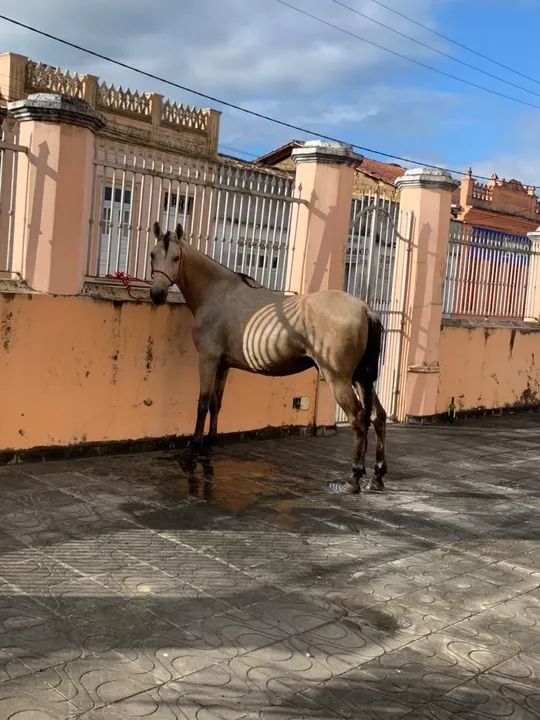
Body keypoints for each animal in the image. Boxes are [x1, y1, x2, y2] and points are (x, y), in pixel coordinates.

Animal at [149, 222, 387, 493]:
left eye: (176, 258)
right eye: (153, 255)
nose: (157, 294)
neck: (217, 293)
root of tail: (365, 309)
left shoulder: (208, 360)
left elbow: (202, 403)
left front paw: (195, 447)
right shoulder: (223, 364)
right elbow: (216, 404)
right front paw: (209, 444)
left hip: (339, 379)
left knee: (358, 419)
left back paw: (354, 478)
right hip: (360, 378)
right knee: (378, 415)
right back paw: (377, 476)